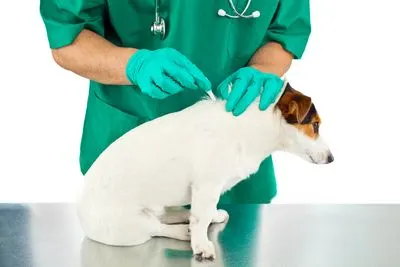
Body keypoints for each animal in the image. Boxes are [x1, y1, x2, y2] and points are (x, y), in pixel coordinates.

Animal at [76, 80, 332, 260]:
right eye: (315, 125)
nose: (332, 158)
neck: (252, 128)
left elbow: (205, 212)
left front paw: (213, 216)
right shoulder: (207, 186)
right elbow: (201, 219)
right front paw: (201, 245)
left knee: (168, 216)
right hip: (130, 227)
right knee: (157, 228)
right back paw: (184, 233)